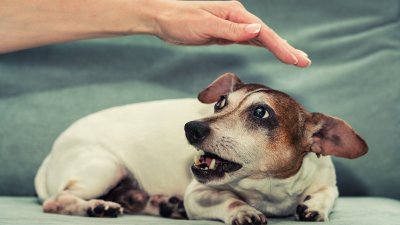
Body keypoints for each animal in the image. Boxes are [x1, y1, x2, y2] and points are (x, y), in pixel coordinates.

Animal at [35, 73, 368, 224]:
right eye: (220, 103)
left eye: (261, 113)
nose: (191, 127)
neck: (268, 189)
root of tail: (50, 155)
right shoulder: (199, 194)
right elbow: (230, 201)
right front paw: (243, 210)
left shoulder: (327, 183)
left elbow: (326, 196)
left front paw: (314, 207)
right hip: (104, 167)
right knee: (56, 200)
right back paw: (97, 206)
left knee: (131, 197)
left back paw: (162, 204)